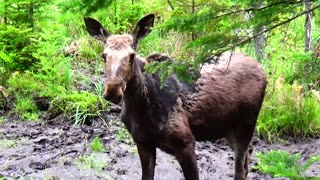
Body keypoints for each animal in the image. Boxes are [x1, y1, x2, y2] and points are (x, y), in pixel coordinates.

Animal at [84, 13, 268, 179]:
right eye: (104, 55)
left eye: (132, 55)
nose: (112, 90)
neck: (140, 110)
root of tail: (261, 69)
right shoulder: (143, 142)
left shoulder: (186, 143)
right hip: (227, 127)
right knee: (249, 153)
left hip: (246, 124)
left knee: (240, 168)